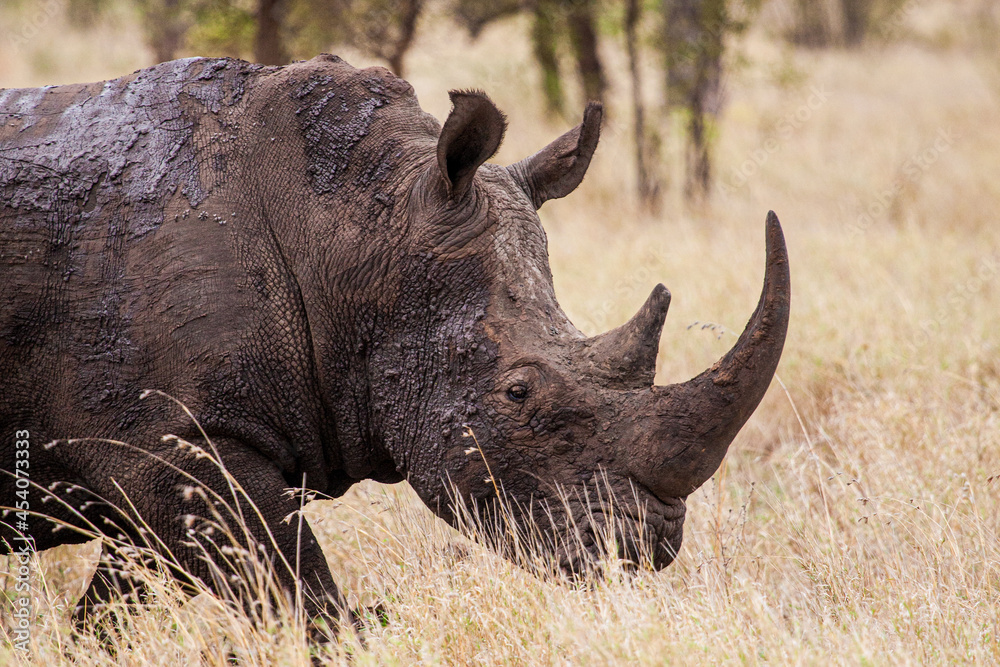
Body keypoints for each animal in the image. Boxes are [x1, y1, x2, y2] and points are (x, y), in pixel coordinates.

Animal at [0, 55, 789, 632]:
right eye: (518, 393)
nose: (642, 549)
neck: (349, 232)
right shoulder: (165, 442)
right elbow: (300, 590)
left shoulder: (155, 461)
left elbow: (113, 609)